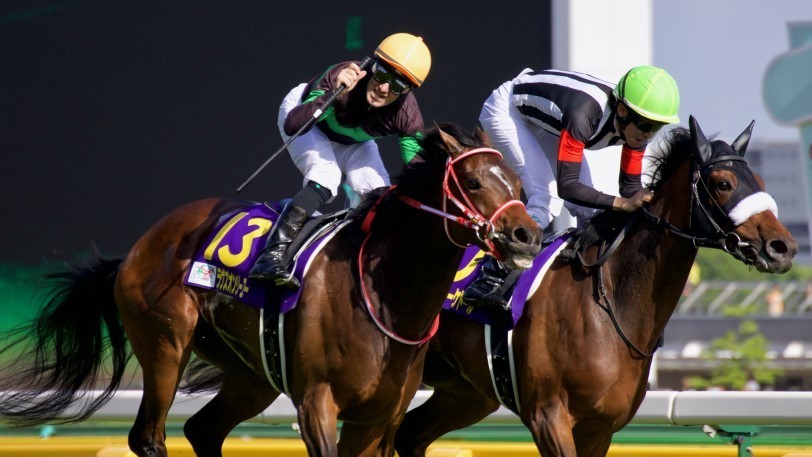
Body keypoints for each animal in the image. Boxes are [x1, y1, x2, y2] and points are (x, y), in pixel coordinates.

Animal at [0, 123, 543, 457]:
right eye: (473, 182)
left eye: (518, 183)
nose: (527, 236)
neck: (384, 294)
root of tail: (140, 246)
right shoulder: (317, 403)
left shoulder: (379, 416)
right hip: (164, 344)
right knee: (149, 437)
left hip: (250, 372)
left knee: (201, 429)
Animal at [393, 116, 799, 457]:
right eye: (723, 183)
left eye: (760, 183)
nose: (783, 247)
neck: (610, 304)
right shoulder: (548, 416)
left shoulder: (600, 428)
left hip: (468, 391)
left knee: (410, 434)